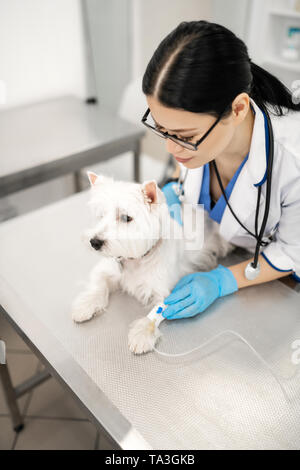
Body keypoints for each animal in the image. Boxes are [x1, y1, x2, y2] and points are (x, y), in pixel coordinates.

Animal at [71, 172, 232, 352]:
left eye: (126, 217)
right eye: (101, 215)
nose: (94, 242)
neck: (136, 259)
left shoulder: (166, 290)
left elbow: (157, 311)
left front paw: (142, 334)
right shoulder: (107, 269)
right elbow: (98, 286)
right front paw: (85, 305)